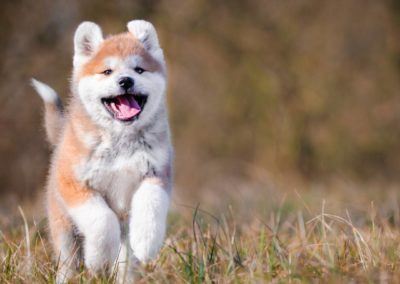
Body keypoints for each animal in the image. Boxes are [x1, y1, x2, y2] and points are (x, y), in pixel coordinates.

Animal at [32, 20, 173, 282]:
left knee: (125, 262)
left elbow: (151, 205)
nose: (126, 81)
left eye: (139, 70)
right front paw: (99, 258)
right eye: (107, 72)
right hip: (64, 230)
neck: (120, 140)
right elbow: (101, 221)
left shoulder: (156, 173)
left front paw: (146, 241)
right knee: (68, 262)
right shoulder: (74, 184)